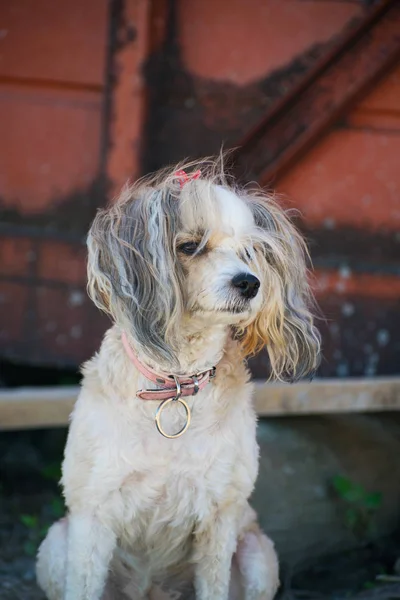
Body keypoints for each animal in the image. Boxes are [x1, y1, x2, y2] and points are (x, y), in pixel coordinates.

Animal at [36, 159, 320, 600]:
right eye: (189, 246)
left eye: (249, 251)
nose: (249, 282)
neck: (175, 383)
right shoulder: (92, 512)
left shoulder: (220, 516)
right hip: (54, 545)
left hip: (259, 556)